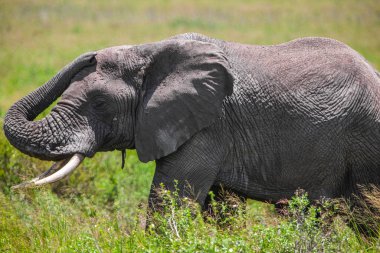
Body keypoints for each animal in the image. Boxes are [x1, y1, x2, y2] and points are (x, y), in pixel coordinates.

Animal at [3, 32, 380, 209]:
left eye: (99, 103)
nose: (94, 54)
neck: (149, 50)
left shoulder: (207, 128)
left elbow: (169, 201)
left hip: (366, 140)